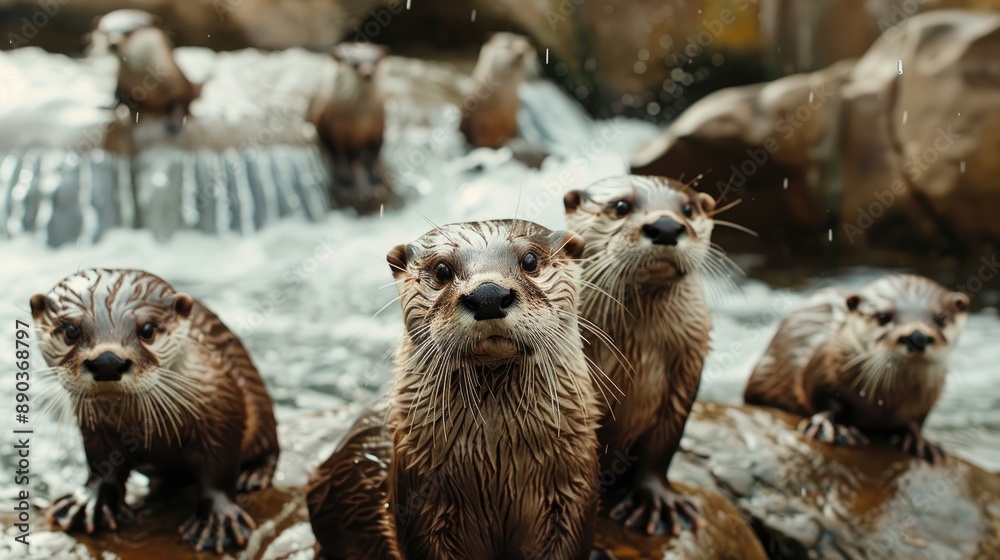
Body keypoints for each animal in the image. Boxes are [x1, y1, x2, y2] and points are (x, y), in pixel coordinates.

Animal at [30, 270, 278, 552]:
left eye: (147, 330)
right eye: (71, 330)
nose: (107, 361)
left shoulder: (220, 405)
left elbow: (219, 468)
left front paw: (217, 522)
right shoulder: (94, 427)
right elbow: (102, 463)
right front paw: (88, 503)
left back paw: (252, 475)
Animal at [306, 220, 600, 560]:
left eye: (530, 260)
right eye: (442, 269)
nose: (488, 295)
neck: (496, 462)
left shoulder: (571, 499)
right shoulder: (421, 503)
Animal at [310, 41, 392, 214]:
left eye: (375, 62)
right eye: (355, 65)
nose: (368, 73)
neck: (360, 121)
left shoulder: (379, 127)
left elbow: (376, 150)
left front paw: (376, 174)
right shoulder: (334, 129)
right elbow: (338, 151)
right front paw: (345, 175)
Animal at [568, 175, 724, 532]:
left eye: (688, 209)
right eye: (621, 206)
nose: (666, 226)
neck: (635, 354)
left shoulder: (687, 367)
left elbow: (663, 444)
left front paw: (658, 500)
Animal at [744, 274, 968, 462]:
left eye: (941, 318)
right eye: (882, 316)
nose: (916, 336)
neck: (884, 403)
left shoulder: (927, 398)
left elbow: (916, 420)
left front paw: (918, 441)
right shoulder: (821, 366)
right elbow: (822, 399)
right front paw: (835, 429)